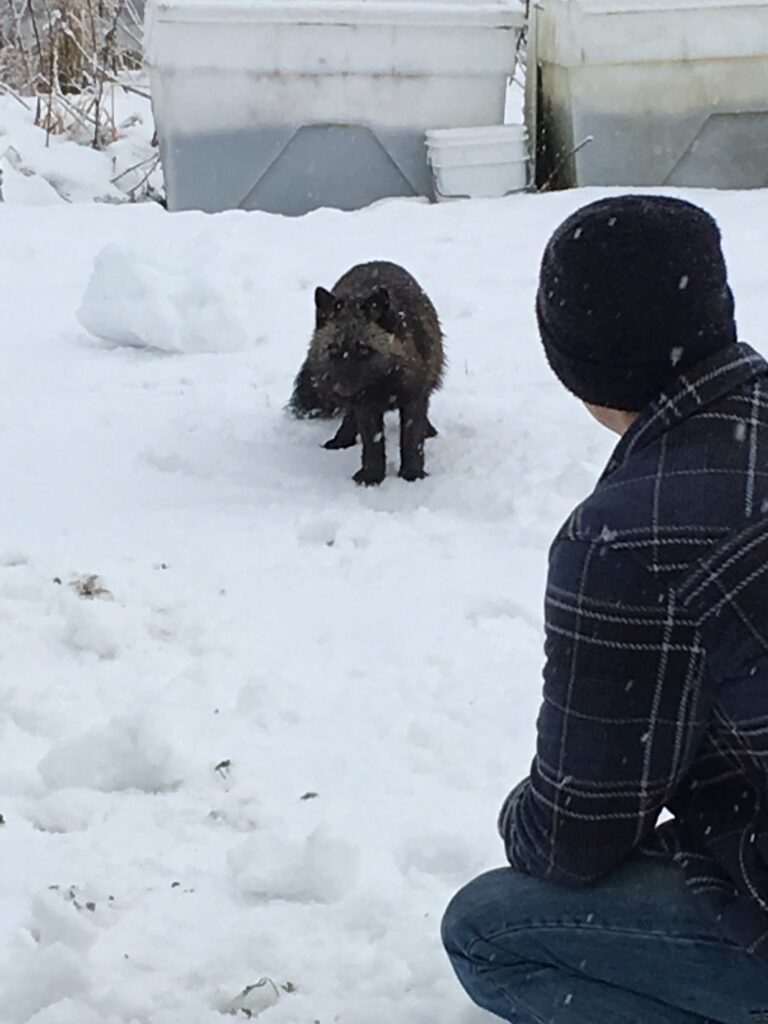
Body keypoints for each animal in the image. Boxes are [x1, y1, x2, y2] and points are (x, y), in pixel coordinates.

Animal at [289, 261, 445, 486]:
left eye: (363, 349)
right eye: (332, 349)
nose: (338, 388)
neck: (386, 383)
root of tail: (375, 262)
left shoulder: (414, 398)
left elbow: (411, 440)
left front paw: (412, 475)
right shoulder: (365, 404)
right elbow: (372, 443)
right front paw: (371, 477)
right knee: (350, 417)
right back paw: (341, 439)